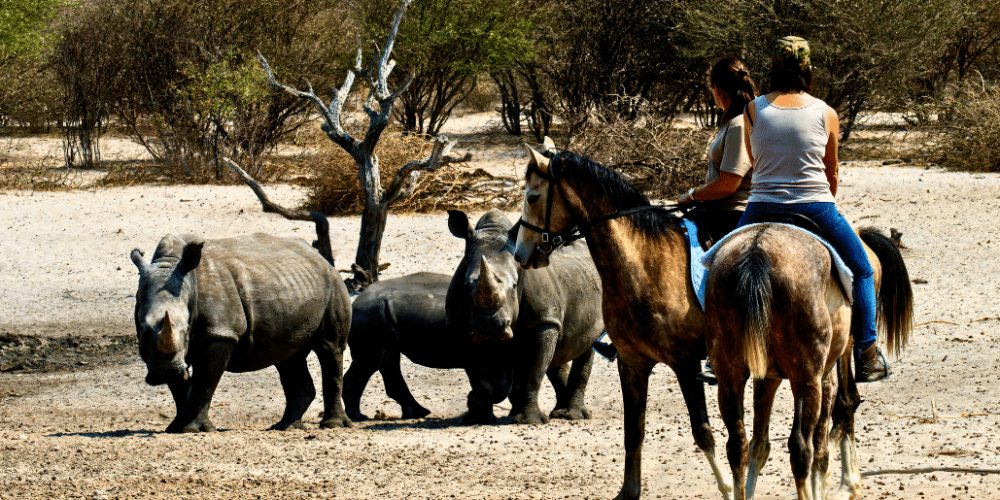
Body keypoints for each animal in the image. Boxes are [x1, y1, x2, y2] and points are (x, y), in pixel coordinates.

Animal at [130, 233, 352, 433]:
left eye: (186, 330)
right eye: (142, 330)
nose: (165, 373)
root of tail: (321, 258)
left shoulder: (220, 333)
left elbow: (204, 382)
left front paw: (193, 429)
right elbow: (180, 387)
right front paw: (176, 427)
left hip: (333, 283)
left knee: (329, 347)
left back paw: (333, 425)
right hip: (294, 288)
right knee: (288, 357)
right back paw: (286, 427)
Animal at [342, 272, 514, 421]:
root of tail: (354, 304)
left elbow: (501, 384)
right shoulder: (474, 352)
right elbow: (491, 385)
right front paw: (478, 413)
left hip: (369, 316)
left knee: (366, 362)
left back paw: (357, 416)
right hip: (374, 314)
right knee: (386, 359)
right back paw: (419, 413)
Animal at [446, 209, 604, 424]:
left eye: (514, 286)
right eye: (466, 285)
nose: (490, 327)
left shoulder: (543, 322)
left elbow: (533, 372)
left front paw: (530, 421)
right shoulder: (460, 326)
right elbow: (478, 375)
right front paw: (478, 418)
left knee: (585, 345)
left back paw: (573, 416)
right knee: (559, 350)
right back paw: (552, 413)